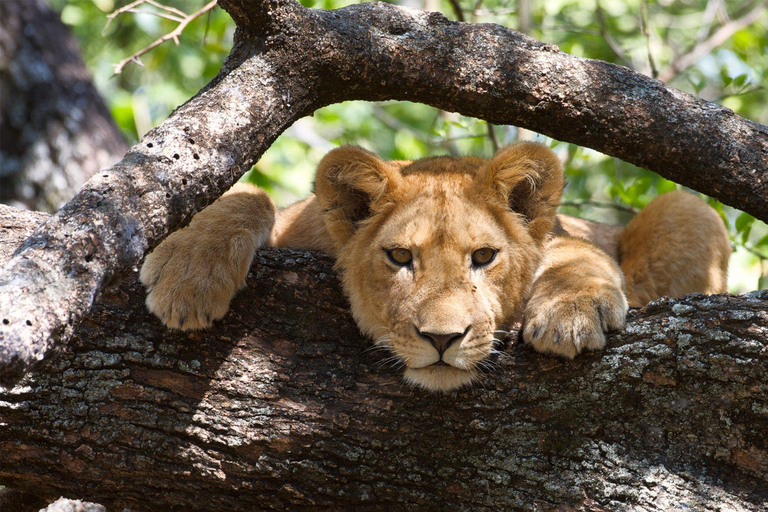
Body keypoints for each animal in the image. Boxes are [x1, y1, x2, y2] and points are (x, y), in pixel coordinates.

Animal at [140, 144, 732, 392]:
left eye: (484, 257)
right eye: (401, 257)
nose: (443, 340)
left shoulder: (567, 237)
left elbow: (575, 253)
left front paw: (570, 313)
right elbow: (249, 196)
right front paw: (188, 277)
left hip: (690, 209)